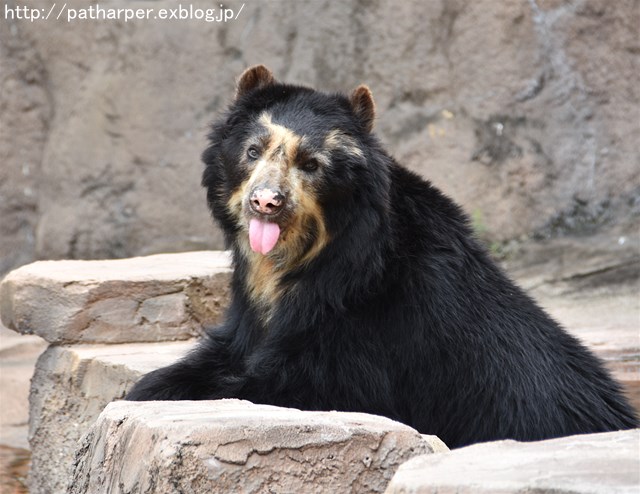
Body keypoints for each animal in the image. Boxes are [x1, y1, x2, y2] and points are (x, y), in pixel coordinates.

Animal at [126, 64, 640, 448]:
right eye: (253, 151)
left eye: (311, 164)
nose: (266, 202)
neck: (310, 256)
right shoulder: (251, 313)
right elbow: (217, 356)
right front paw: (146, 389)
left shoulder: (371, 327)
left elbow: (297, 383)